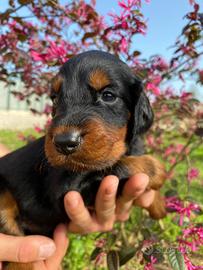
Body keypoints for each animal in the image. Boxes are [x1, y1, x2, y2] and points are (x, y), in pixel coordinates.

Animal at [0, 50, 166, 270]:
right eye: (55, 99)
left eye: (108, 95)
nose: (64, 142)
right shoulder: (67, 188)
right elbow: (118, 166)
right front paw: (157, 170)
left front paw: (159, 206)